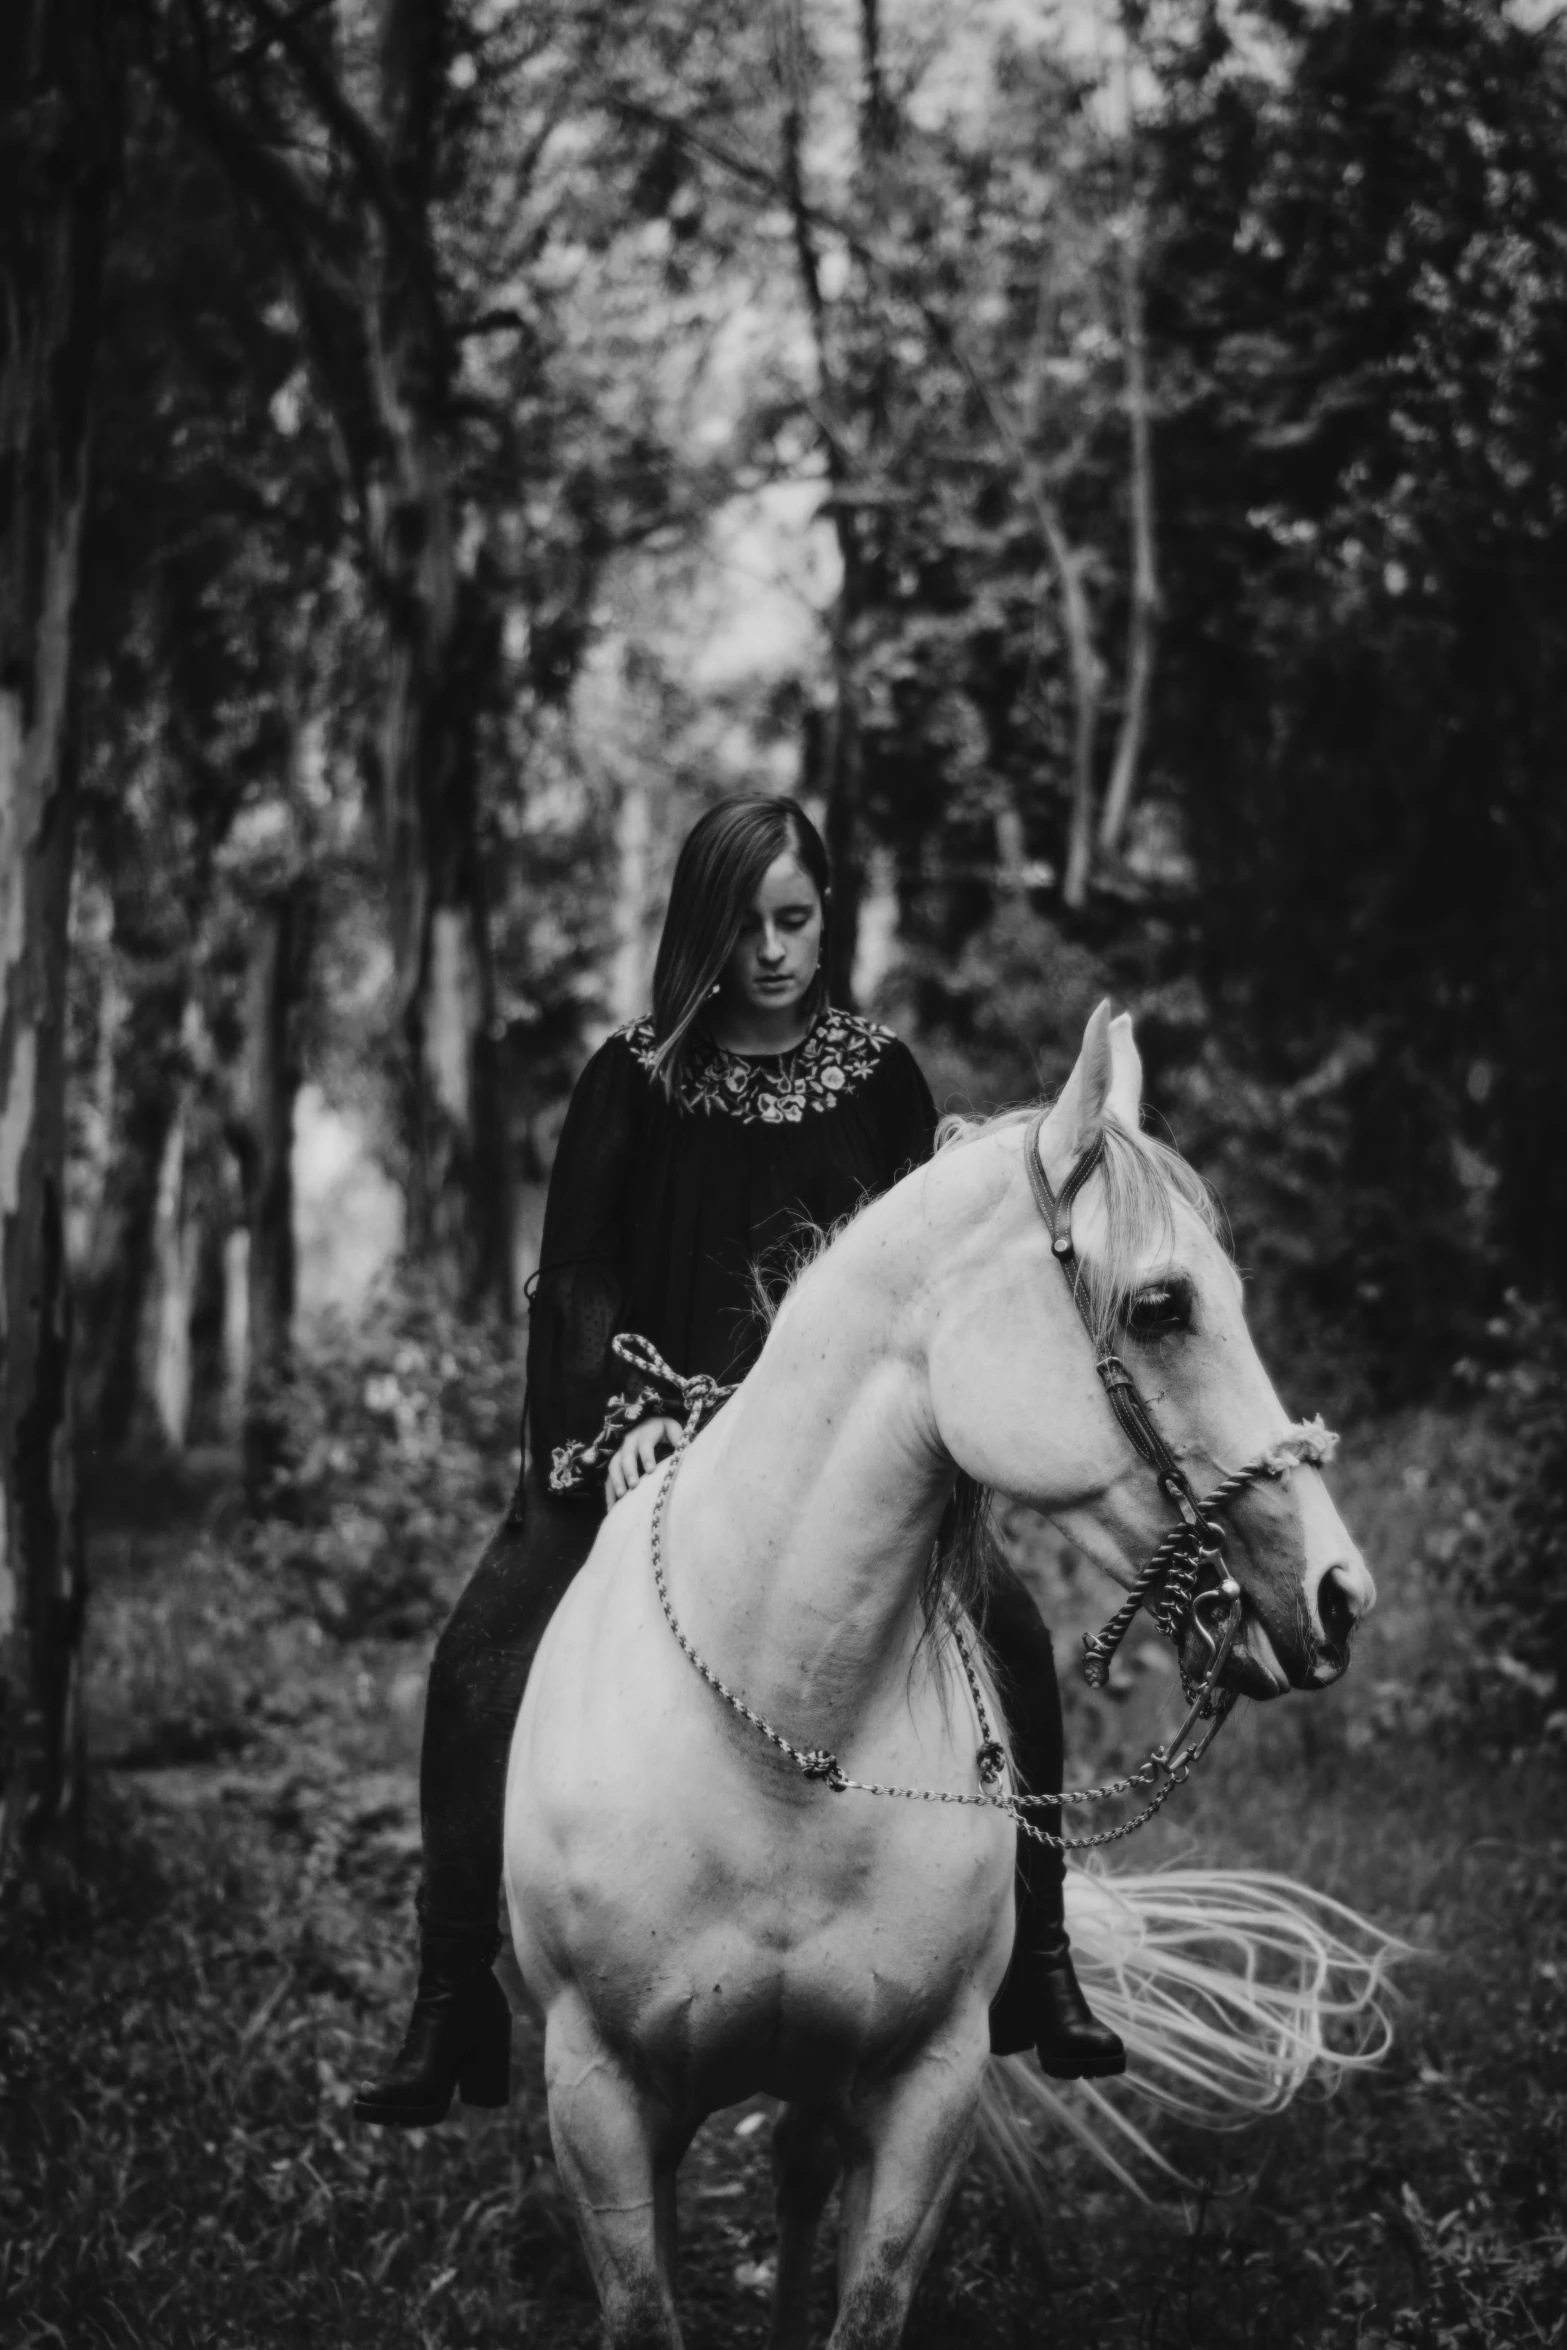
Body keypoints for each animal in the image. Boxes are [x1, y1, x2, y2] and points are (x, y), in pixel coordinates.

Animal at [509, 1010, 1381, 2350]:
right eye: (1162, 1305)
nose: (1338, 1593)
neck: (782, 1734)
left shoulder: (925, 2090)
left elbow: (865, 2299)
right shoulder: (597, 2090)